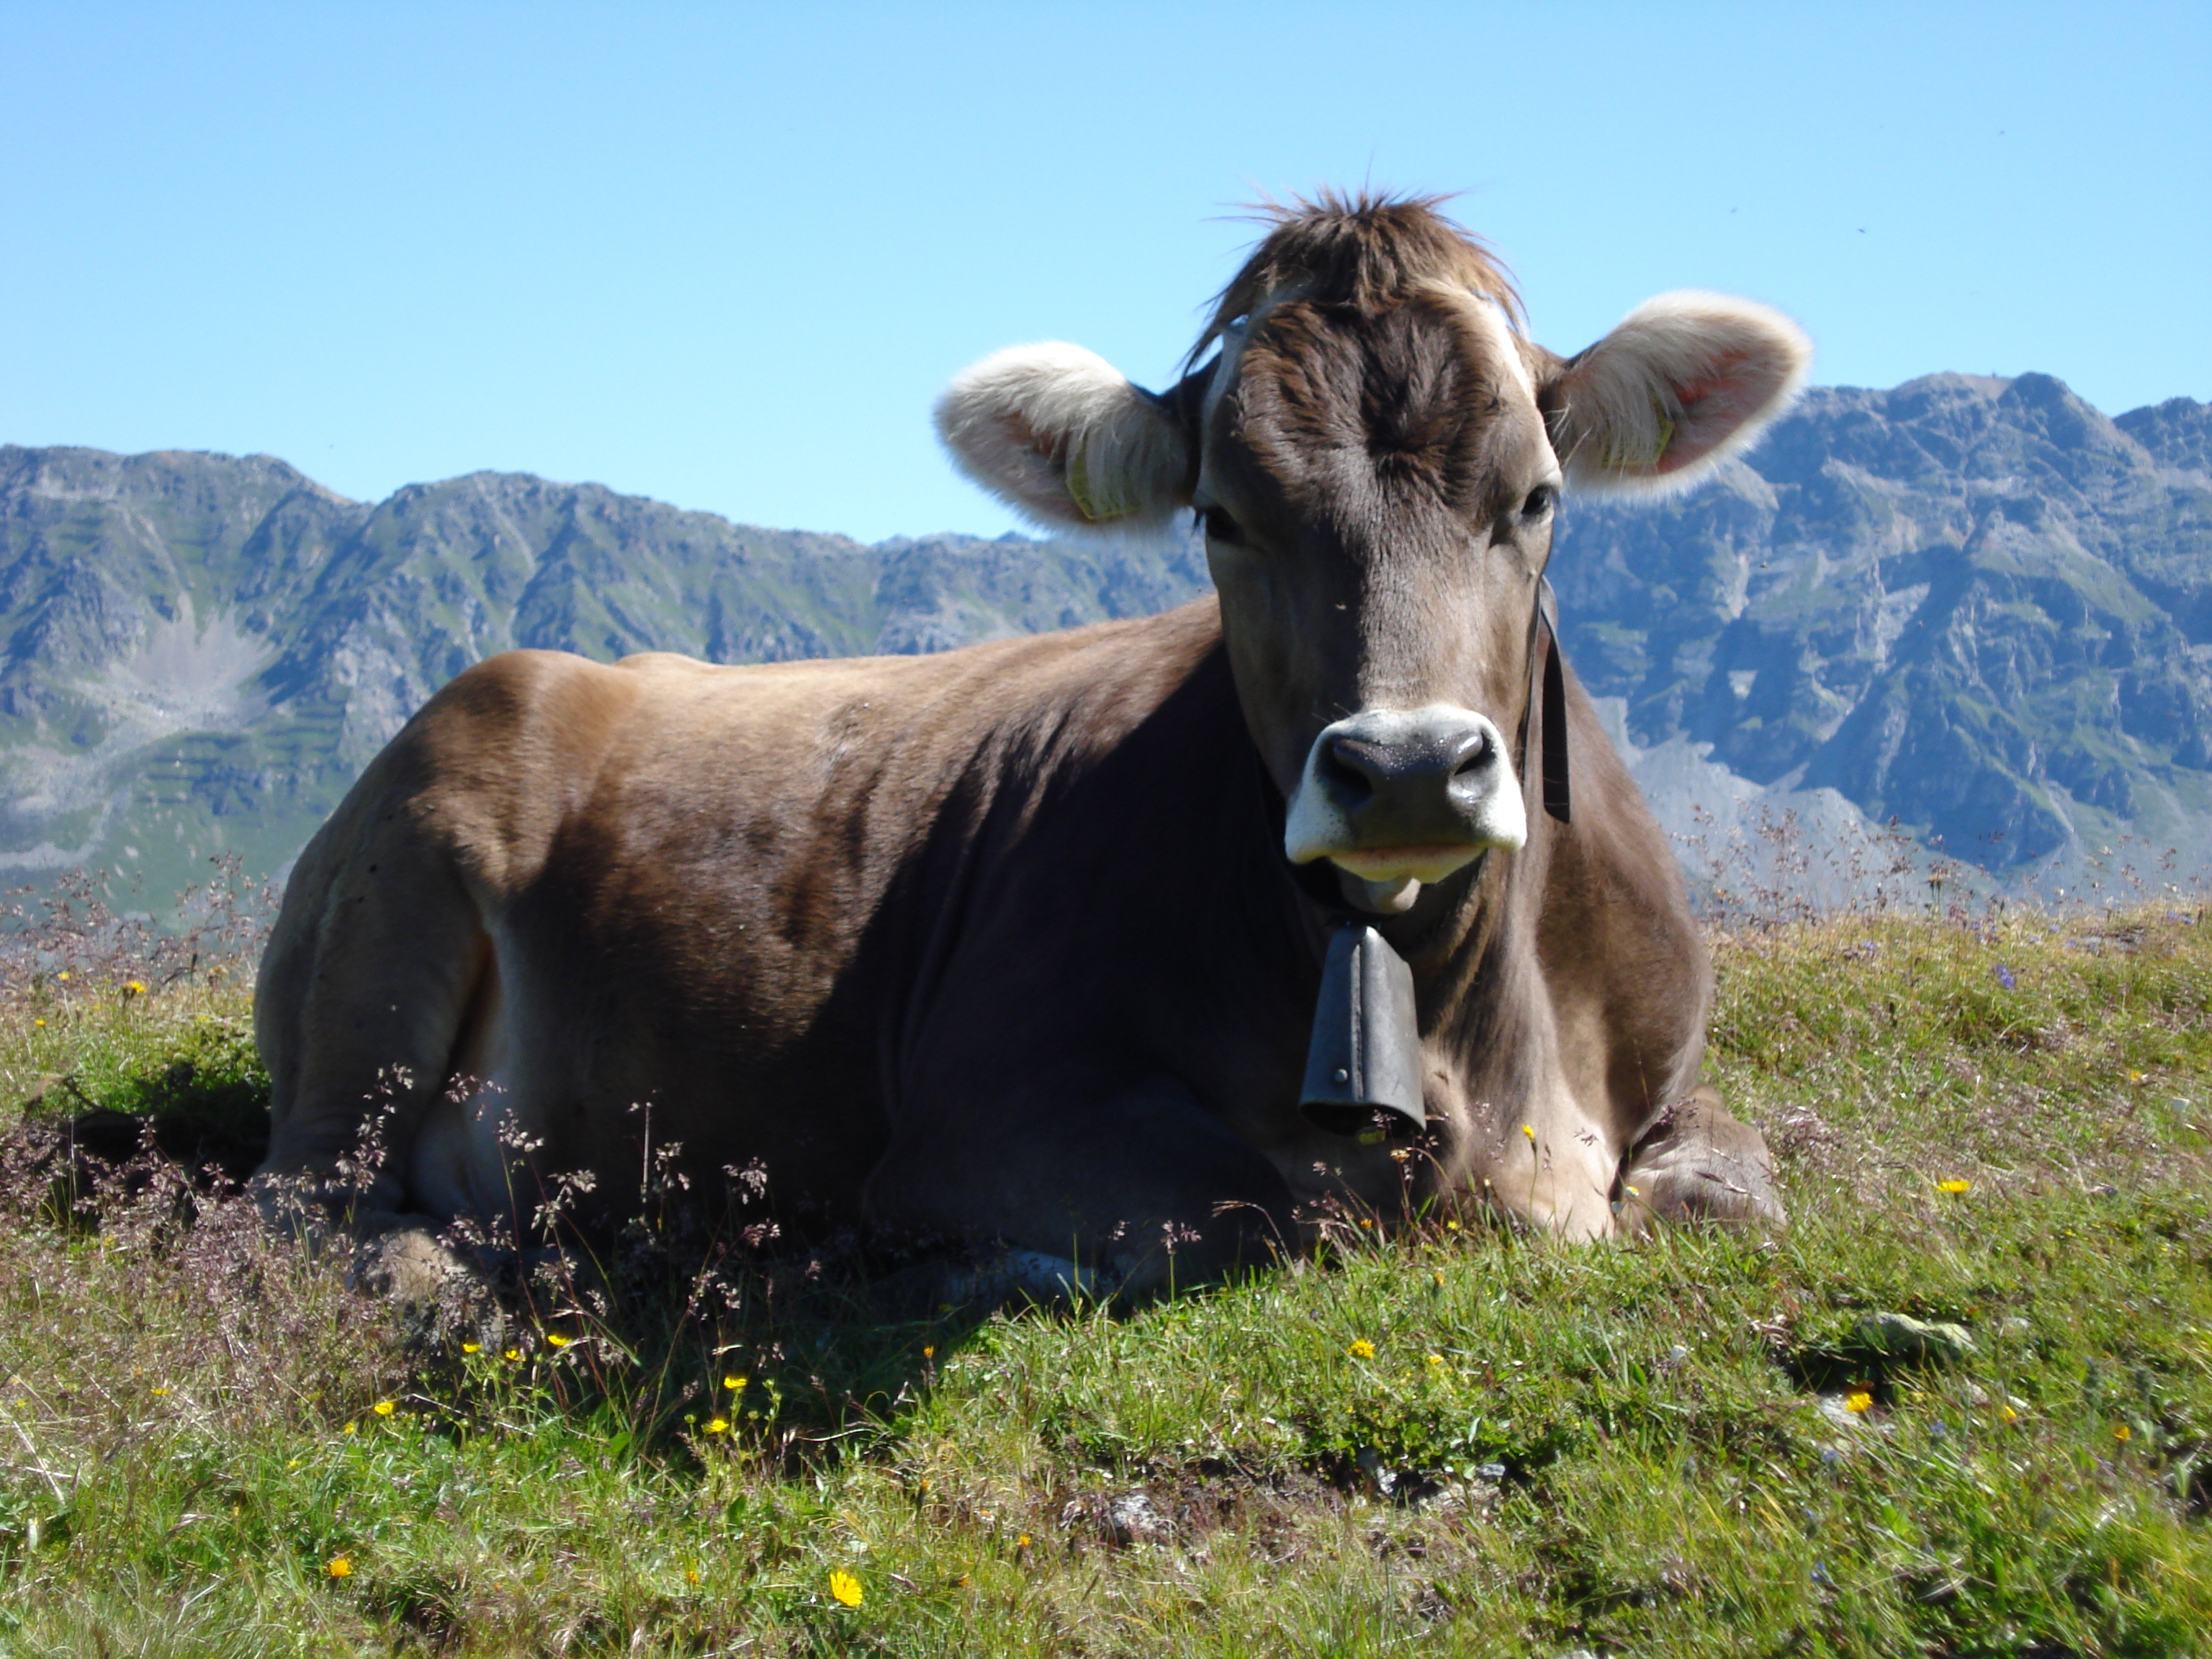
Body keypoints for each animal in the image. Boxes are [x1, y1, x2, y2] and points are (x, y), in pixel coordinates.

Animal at [252, 192, 1803, 1301]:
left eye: (1536, 499)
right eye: (1221, 516)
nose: (1410, 768)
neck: (1465, 1037)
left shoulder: (1674, 1085)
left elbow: (1735, 1191)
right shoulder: (979, 1116)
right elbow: (1254, 1215)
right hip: (396, 904)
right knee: (304, 1200)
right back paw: (459, 1263)